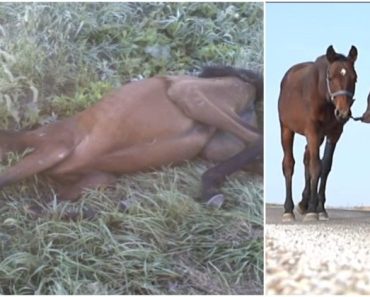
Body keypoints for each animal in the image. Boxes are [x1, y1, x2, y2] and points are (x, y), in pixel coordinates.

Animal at [0, 65, 264, 206]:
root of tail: (250, 84)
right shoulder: (99, 177)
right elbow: (51, 203)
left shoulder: (55, 147)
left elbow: (6, 179)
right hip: (216, 146)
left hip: (188, 93)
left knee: (257, 139)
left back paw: (209, 187)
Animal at [278, 45, 356, 220]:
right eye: (331, 77)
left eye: (354, 78)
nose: (343, 113)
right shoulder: (312, 131)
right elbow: (316, 166)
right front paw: (313, 211)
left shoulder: (334, 133)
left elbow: (325, 166)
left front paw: (320, 208)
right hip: (286, 129)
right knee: (289, 164)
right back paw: (288, 210)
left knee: (306, 158)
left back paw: (303, 203)